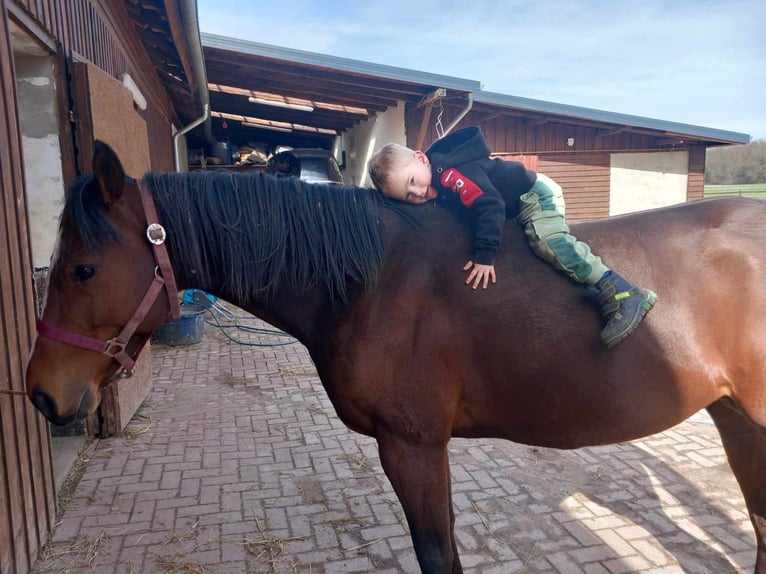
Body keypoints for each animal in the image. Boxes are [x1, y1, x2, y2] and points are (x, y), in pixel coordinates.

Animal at [24, 141, 766, 574]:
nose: (40, 393)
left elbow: (438, 555)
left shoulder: (412, 445)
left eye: (83, 270)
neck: (370, 278)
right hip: (737, 420)